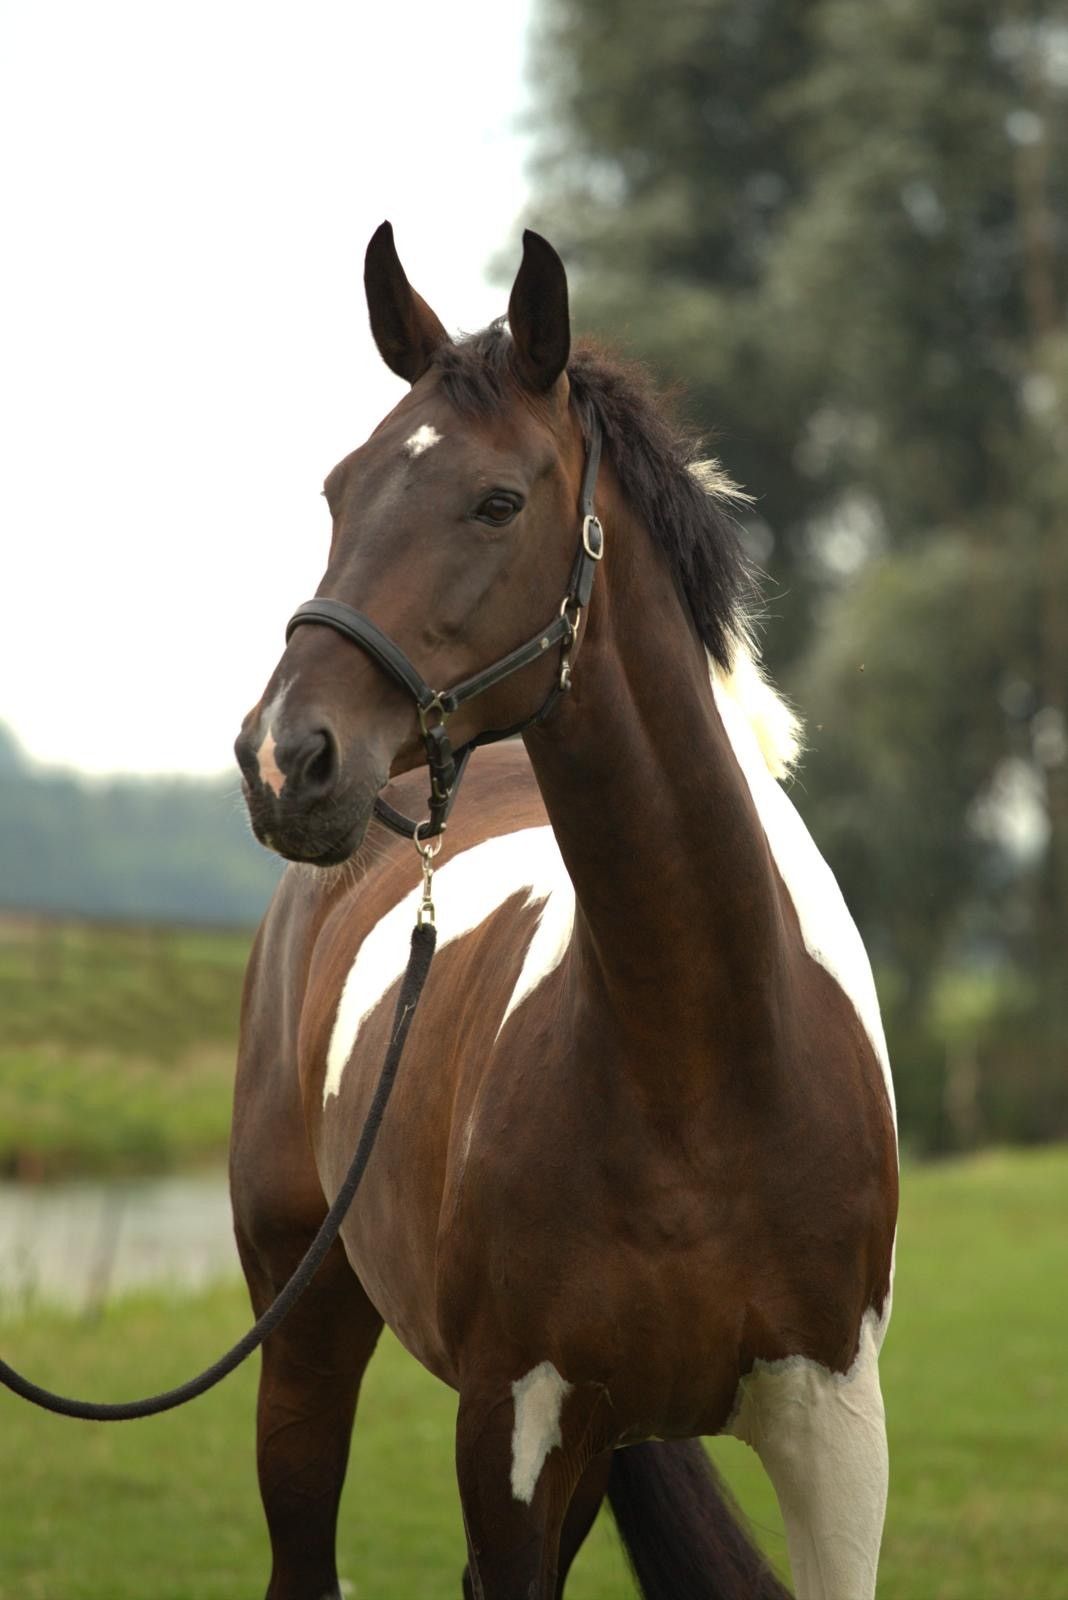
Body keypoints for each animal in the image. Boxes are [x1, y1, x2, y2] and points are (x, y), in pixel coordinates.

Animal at [232, 222, 899, 1600]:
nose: (285, 758)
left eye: (497, 501)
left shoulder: (834, 1438)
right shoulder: (514, 1430)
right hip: (304, 1329)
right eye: (338, 491)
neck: (699, 1058)